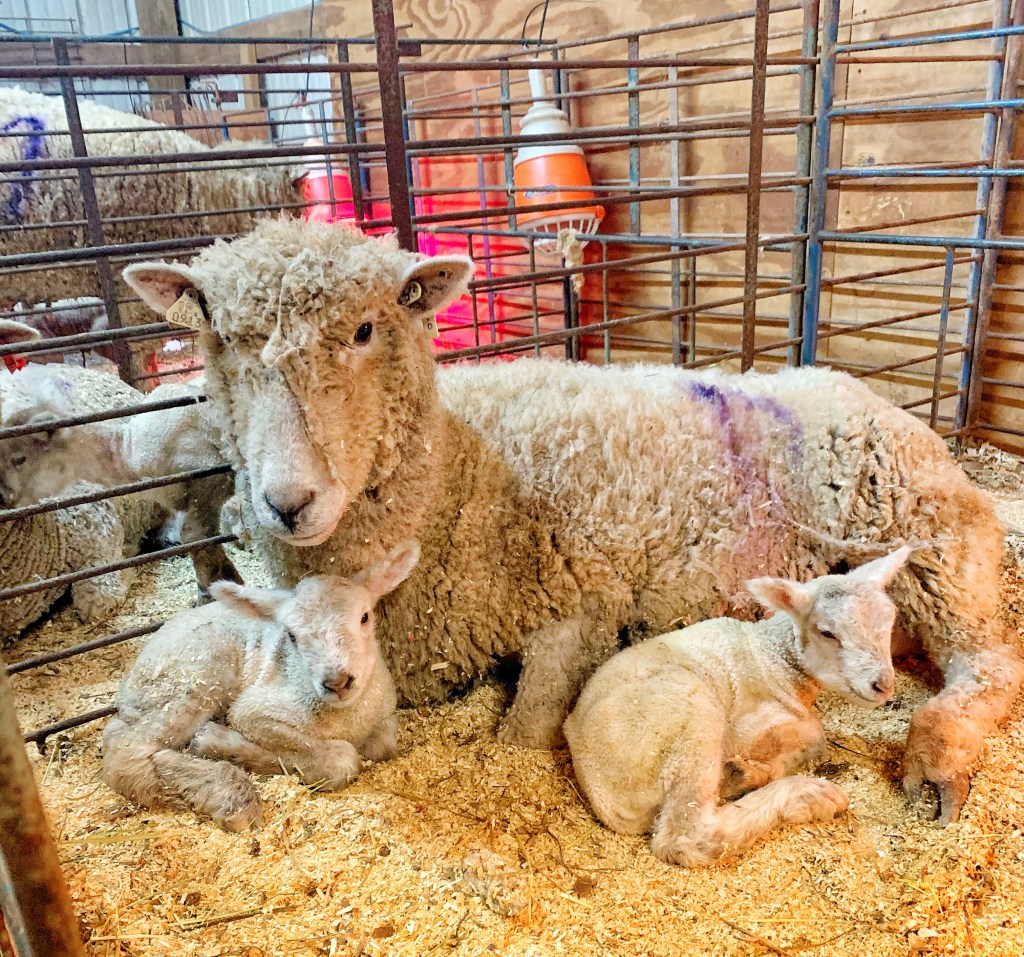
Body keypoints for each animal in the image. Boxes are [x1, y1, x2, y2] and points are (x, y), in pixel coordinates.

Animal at [0, 371, 240, 601]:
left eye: (19, 459)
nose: (4, 498)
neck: (126, 452)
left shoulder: (209, 473)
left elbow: (196, 536)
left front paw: (219, 588)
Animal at [101, 540, 419, 831]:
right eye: (290, 635)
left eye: (365, 617)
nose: (337, 682)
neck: (346, 718)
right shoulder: (254, 710)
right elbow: (337, 759)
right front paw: (218, 742)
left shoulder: (385, 712)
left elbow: (383, 745)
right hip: (196, 675)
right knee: (126, 754)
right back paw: (232, 796)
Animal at [563, 547, 910, 866]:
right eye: (827, 632)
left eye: (889, 620)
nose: (883, 685)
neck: (774, 655)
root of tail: (598, 791)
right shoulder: (742, 729)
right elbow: (816, 733)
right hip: (691, 717)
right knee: (687, 837)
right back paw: (803, 793)